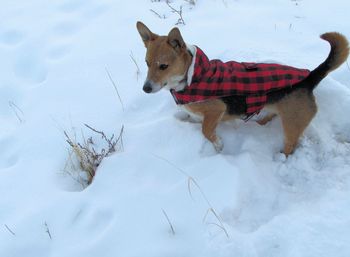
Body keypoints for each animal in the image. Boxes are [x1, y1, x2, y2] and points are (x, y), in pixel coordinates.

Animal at [137, 21, 350, 154]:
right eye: (147, 63)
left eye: (163, 66)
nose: (145, 89)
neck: (192, 75)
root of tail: (310, 78)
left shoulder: (216, 110)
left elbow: (206, 131)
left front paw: (219, 146)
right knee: (271, 115)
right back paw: (261, 122)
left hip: (292, 126)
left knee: (290, 146)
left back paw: (282, 157)